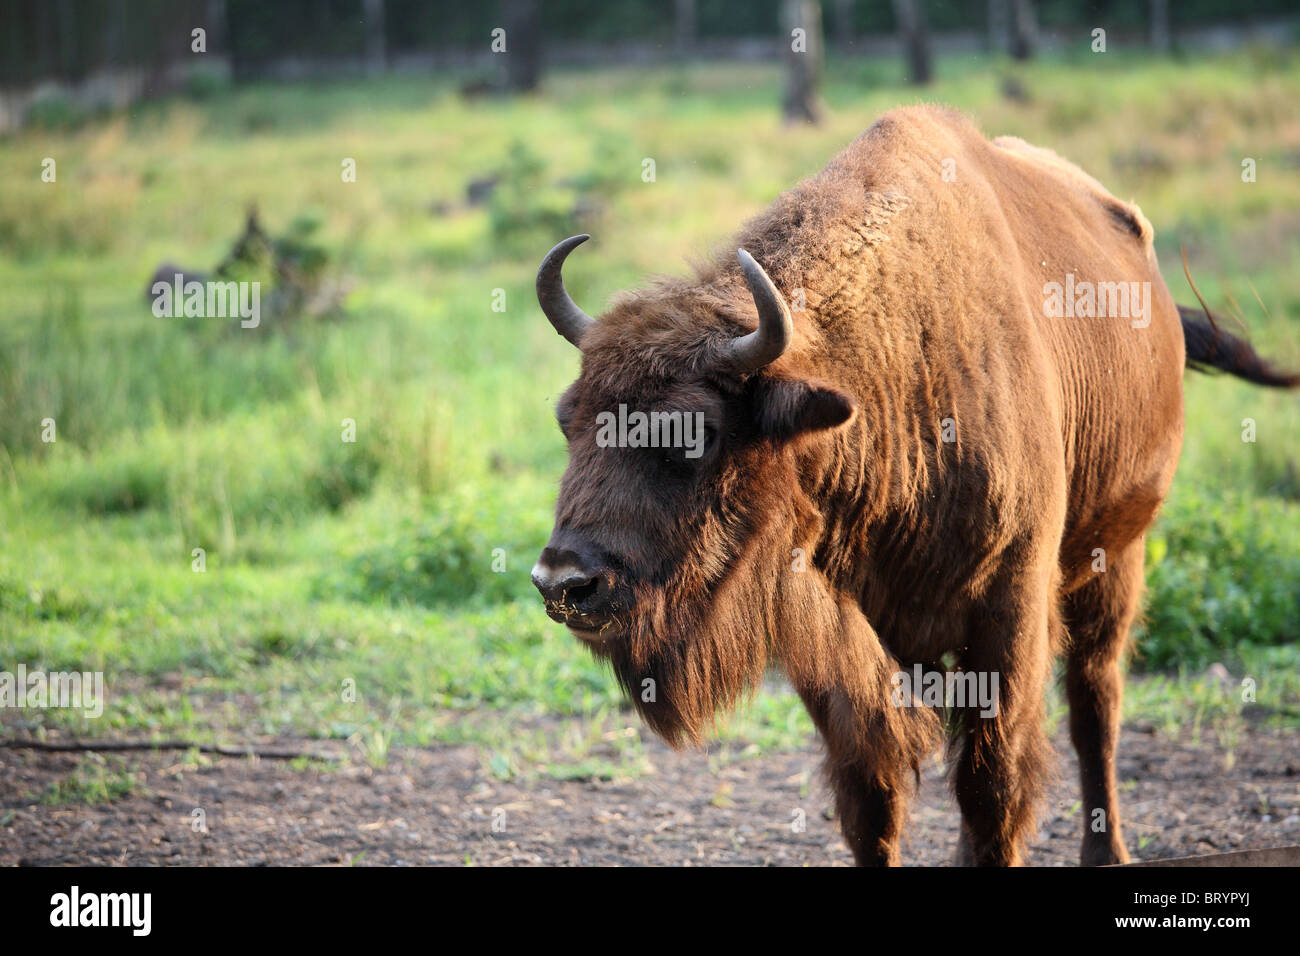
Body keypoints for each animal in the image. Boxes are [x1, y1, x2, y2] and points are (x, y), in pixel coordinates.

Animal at [530, 106, 1300, 868]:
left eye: (696, 433)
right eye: (568, 418)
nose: (563, 583)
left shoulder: (1009, 611)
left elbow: (993, 784)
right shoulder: (831, 647)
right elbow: (870, 794)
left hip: (1117, 553)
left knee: (1094, 703)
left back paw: (1107, 851)